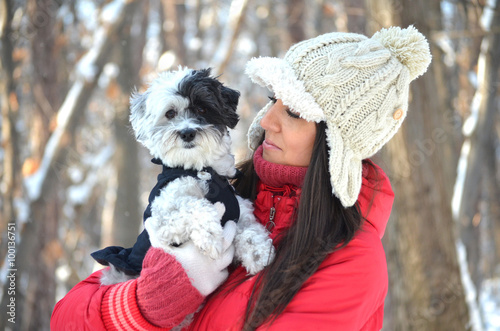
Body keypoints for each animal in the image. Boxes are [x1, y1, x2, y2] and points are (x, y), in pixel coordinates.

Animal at [127, 67, 276, 274]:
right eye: (170, 113)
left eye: (202, 109)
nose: (187, 133)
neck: (201, 169)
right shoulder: (161, 218)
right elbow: (193, 205)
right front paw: (211, 236)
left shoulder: (239, 209)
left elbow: (248, 228)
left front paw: (258, 251)